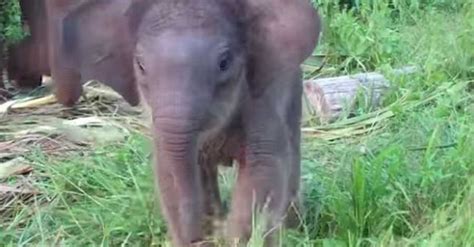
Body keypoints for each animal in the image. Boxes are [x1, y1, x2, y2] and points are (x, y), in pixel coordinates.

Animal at [51, 0, 322, 245]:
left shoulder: (262, 98)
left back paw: (295, 227)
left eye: (224, 62)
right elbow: (169, 171)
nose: (196, 235)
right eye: (140, 65)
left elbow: (263, 168)